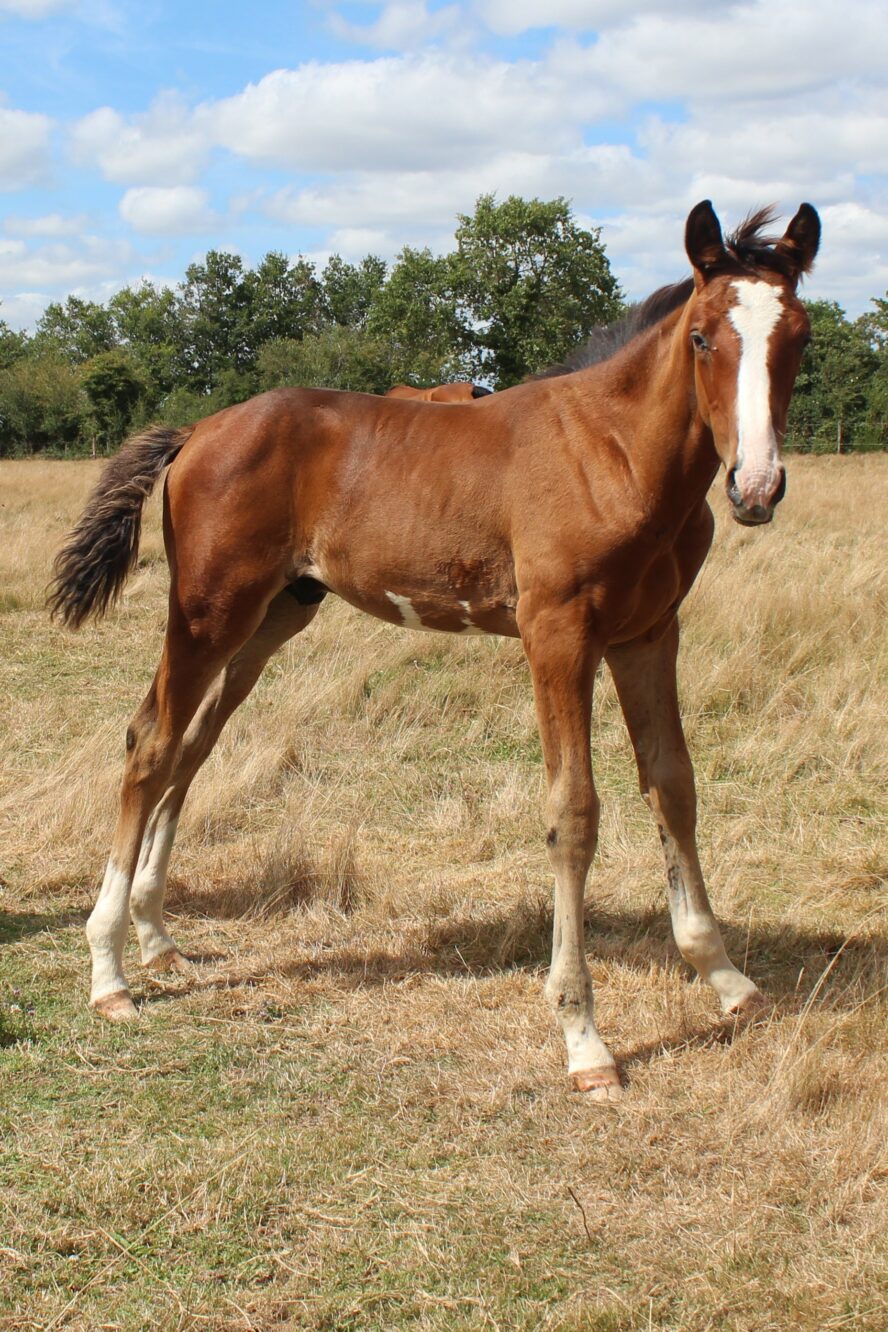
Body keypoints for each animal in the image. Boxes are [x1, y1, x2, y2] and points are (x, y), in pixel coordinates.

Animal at [49, 200, 819, 1099]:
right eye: (701, 337)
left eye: (798, 335)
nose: (755, 487)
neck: (615, 451)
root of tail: (200, 429)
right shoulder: (557, 636)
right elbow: (574, 813)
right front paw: (584, 1040)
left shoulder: (648, 635)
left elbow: (674, 788)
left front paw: (726, 978)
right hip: (208, 612)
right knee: (149, 742)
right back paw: (109, 972)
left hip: (272, 617)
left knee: (192, 744)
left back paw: (156, 939)